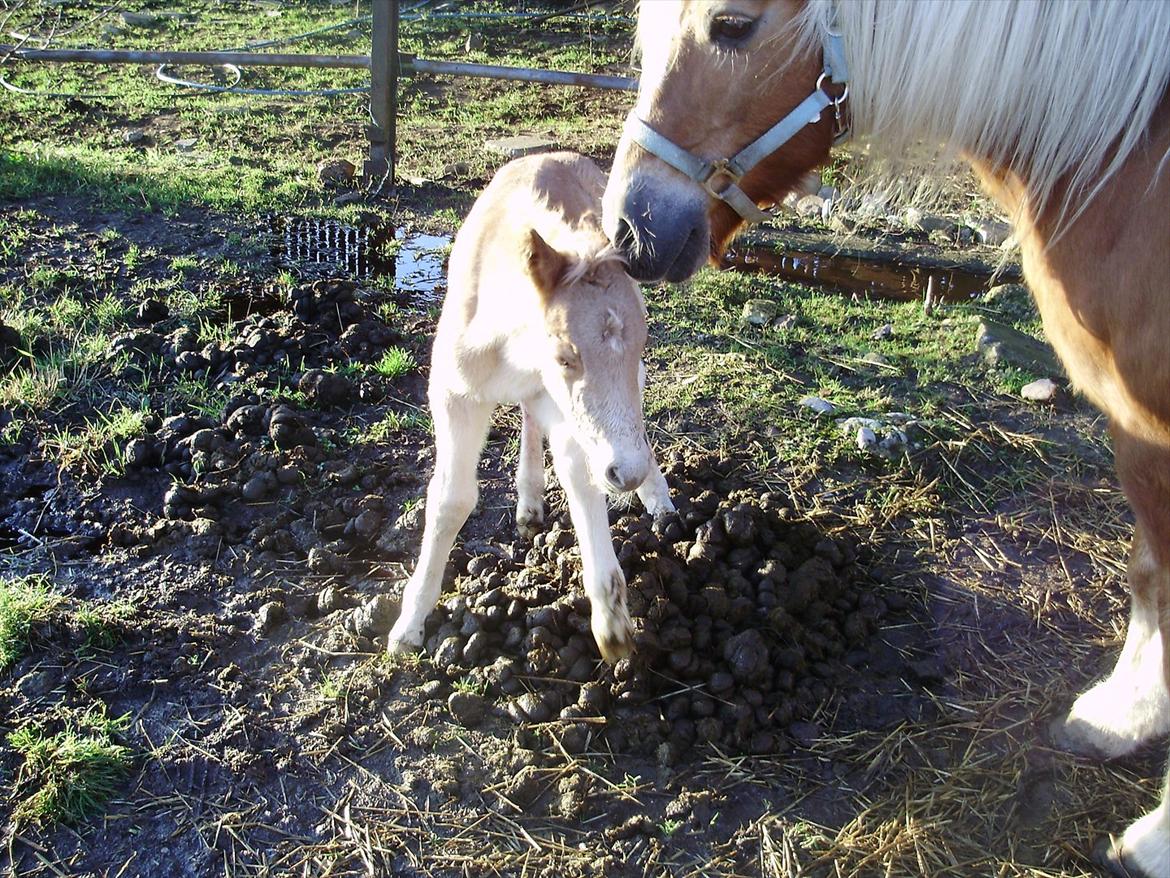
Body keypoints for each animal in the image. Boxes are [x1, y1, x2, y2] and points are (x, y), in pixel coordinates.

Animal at [388, 151, 673, 664]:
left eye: (641, 344)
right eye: (565, 356)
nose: (628, 473)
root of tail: (553, 153)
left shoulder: (579, 414)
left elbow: (582, 481)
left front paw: (612, 623)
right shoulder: (453, 393)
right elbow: (451, 499)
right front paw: (409, 624)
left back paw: (654, 497)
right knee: (529, 417)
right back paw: (531, 501)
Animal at [603, 1, 1170, 878]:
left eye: (731, 25)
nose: (629, 230)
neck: (1128, 160)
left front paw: (1153, 829)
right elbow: (1148, 576)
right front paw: (1118, 720)